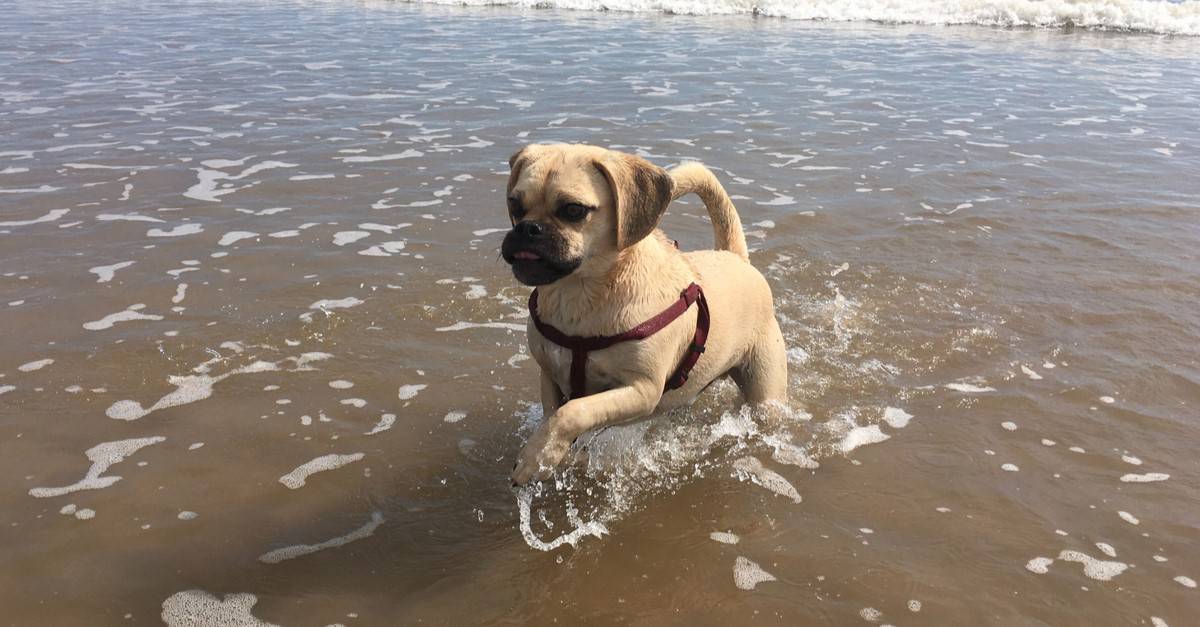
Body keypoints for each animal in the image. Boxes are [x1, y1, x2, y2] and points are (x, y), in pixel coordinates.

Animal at [499, 142, 787, 482]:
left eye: (573, 210)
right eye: (515, 205)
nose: (528, 228)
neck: (578, 294)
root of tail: (735, 256)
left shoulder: (642, 390)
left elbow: (572, 413)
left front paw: (535, 458)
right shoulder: (550, 373)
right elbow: (553, 412)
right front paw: (552, 453)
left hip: (766, 394)